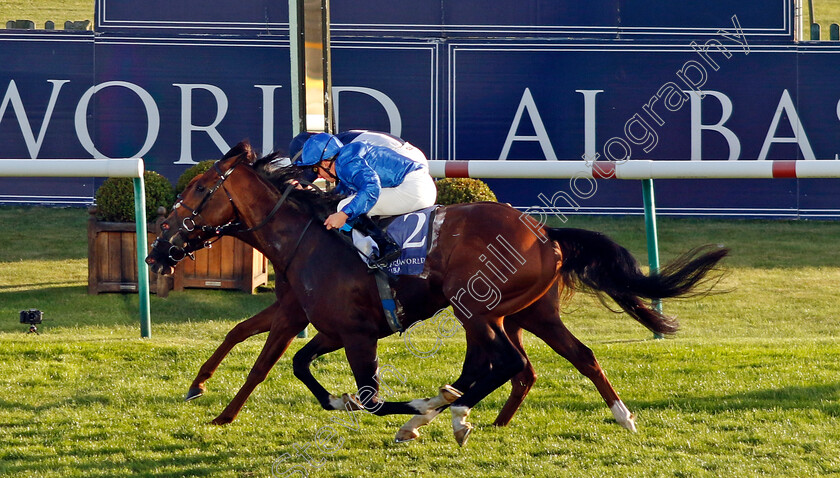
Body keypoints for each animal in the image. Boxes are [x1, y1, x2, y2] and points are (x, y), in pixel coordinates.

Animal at [146, 141, 728, 444]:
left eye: (199, 190)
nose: (158, 249)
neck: (308, 238)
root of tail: (544, 232)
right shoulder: (326, 326)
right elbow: (284, 358)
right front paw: (210, 394)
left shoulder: (355, 334)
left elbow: (364, 395)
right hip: (526, 314)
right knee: (560, 358)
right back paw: (609, 415)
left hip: (480, 309)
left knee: (507, 365)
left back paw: (446, 410)